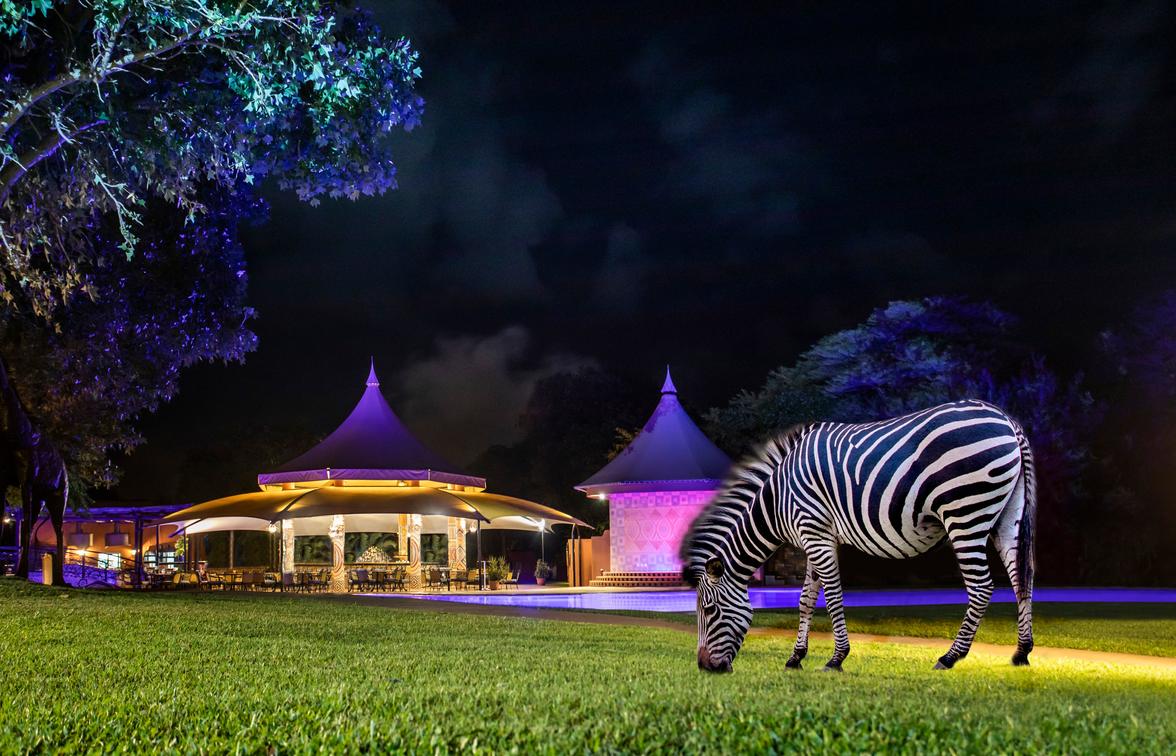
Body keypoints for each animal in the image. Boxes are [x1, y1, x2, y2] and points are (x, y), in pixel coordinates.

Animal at [681, 399, 1035, 673]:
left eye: (709, 611)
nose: (705, 667)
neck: (777, 499)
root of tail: (1008, 421)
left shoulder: (816, 534)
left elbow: (833, 596)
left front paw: (836, 658)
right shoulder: (813, 538)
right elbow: (805, 600)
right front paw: (796, 657)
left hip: (965, 513)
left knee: (981, 587)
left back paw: (950, 657)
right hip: (1007, 516)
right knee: (1022, 579)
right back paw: (1021, 652)